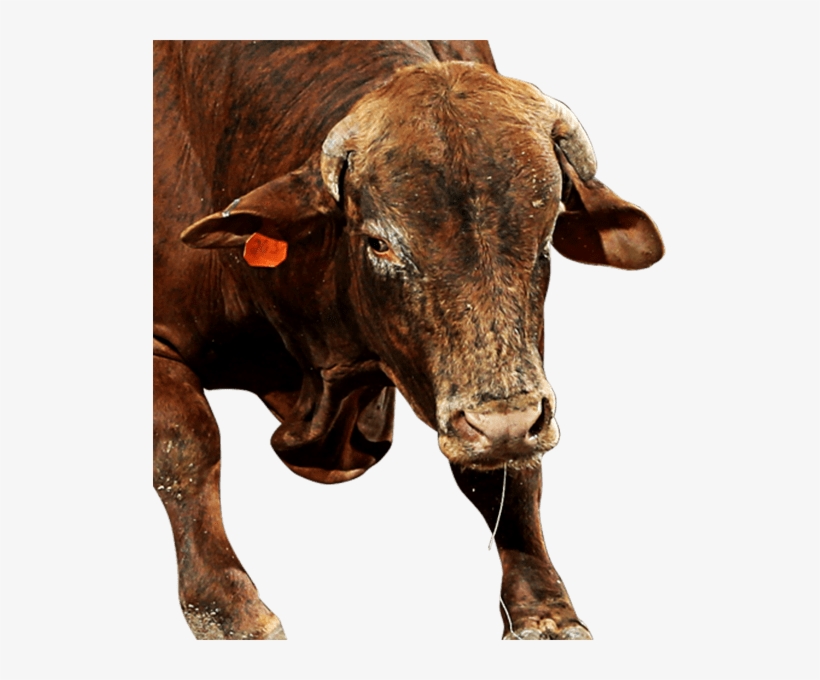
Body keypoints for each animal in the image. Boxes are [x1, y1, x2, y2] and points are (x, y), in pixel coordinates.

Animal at [153, 40, 663, 641]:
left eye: (545, 237)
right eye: (379, 242)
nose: (505, 422)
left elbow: (508, 475)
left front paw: (543, 606)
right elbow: (186, 443)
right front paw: (228, 604)